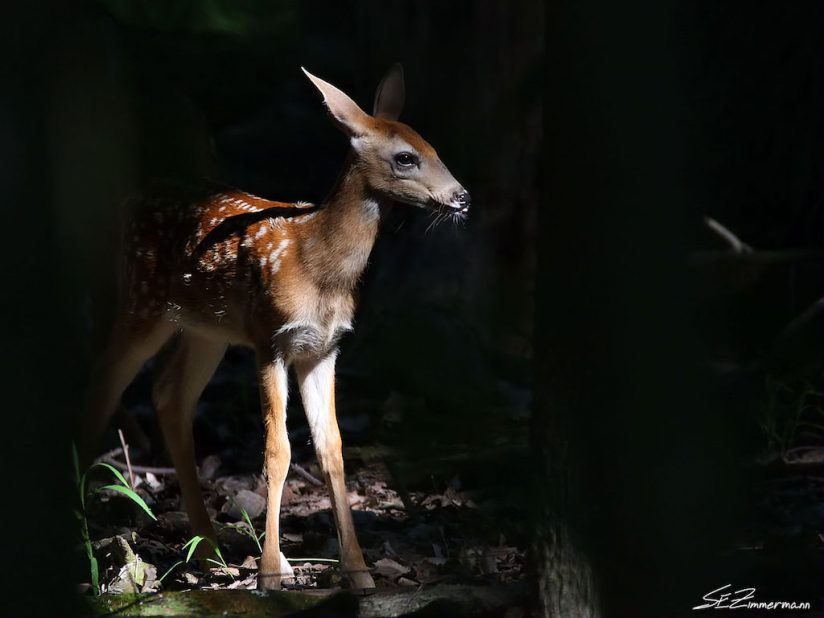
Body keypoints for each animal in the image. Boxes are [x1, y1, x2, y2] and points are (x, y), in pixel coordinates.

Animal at [81, 63, 474, 588]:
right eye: (406, 157)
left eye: (434, 148)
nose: (462, 197)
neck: (318, 266)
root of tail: (131, 200)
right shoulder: (271, 339)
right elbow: (278, 451)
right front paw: (269, 572)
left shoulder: (324, 348)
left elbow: (331, 448)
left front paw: (358, 571)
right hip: (143, 303)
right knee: (103, 383)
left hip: (207, 330)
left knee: (168, 395)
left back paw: (210, 553)